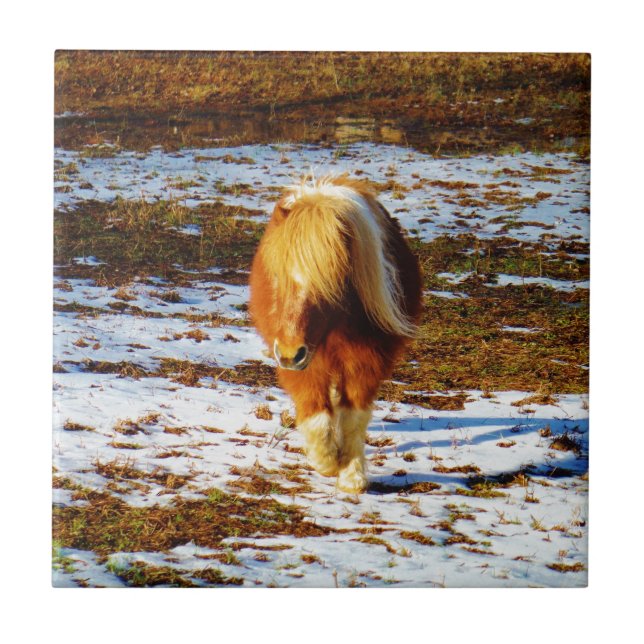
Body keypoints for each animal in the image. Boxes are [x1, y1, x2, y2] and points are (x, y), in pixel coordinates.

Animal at [249, 175, 422, 493]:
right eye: (277, 277)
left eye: (328, 284)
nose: (290, 353)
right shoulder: (304, 364)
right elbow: (316, 414)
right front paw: (326, 461)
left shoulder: (367, 362)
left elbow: (353, 417)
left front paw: (352, 475)